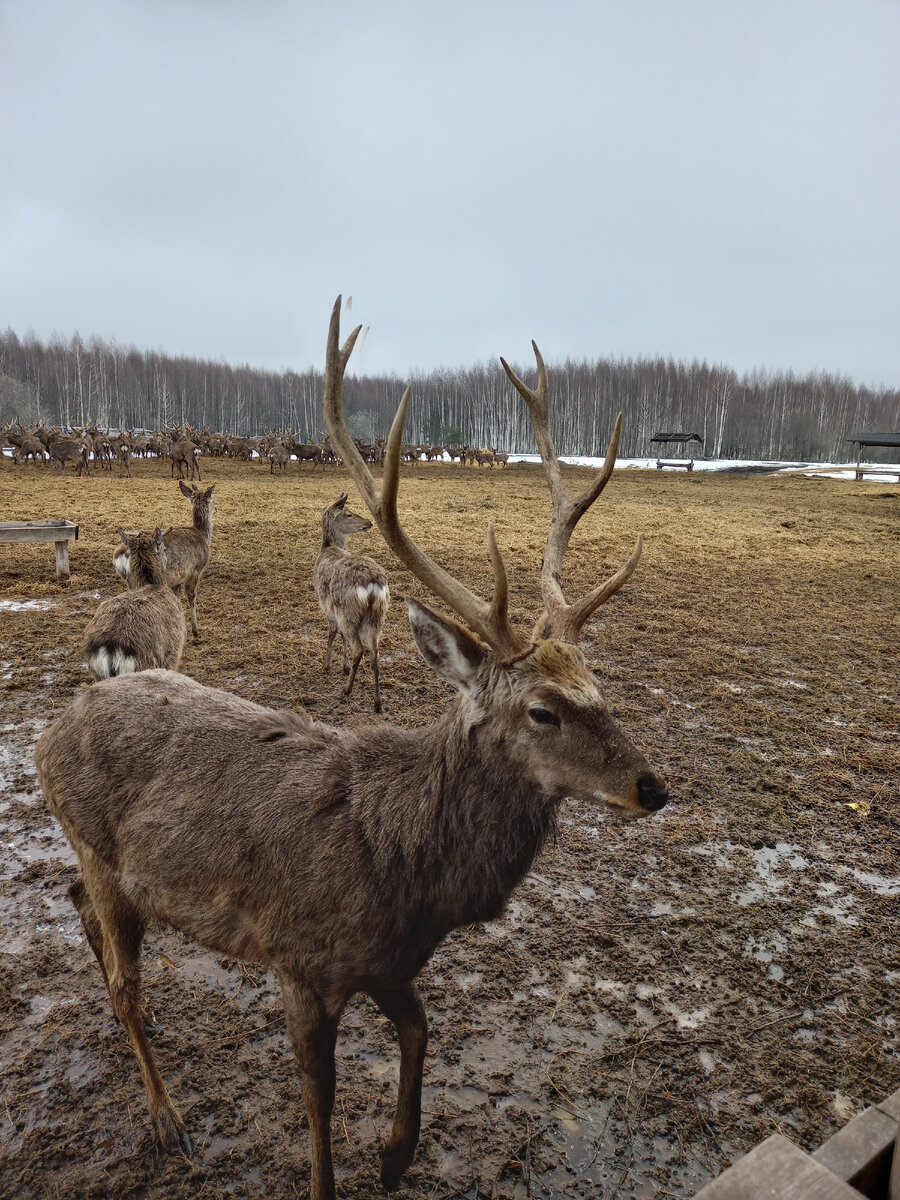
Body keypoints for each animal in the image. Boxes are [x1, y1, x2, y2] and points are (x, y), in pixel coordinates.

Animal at [83, 530, 187, 681]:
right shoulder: (173, 653)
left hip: (97, 674)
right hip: (148, 664)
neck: (152, 584)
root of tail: (110, 648)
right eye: (164, 548)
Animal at [113, 482, 216, 643]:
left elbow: (177, 599)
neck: (203, 535)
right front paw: (195, 631)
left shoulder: (177, 580)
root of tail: (121, 554)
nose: (215, 510)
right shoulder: (196, 570)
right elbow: (191, 596)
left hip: (130, 580)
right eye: (212, 501)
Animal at [314, 489, 388, 710]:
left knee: (360, 649)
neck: (326, 549)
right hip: (377, 616)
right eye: (348, 514)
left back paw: (346, 690)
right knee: (375, 652)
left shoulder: (327, 606)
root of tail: (372, 584)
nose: (369, 522)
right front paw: (342, 666)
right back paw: (378, 702)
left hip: (349, 612)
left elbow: (333, 632)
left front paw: (328, 666)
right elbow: (340, 635)